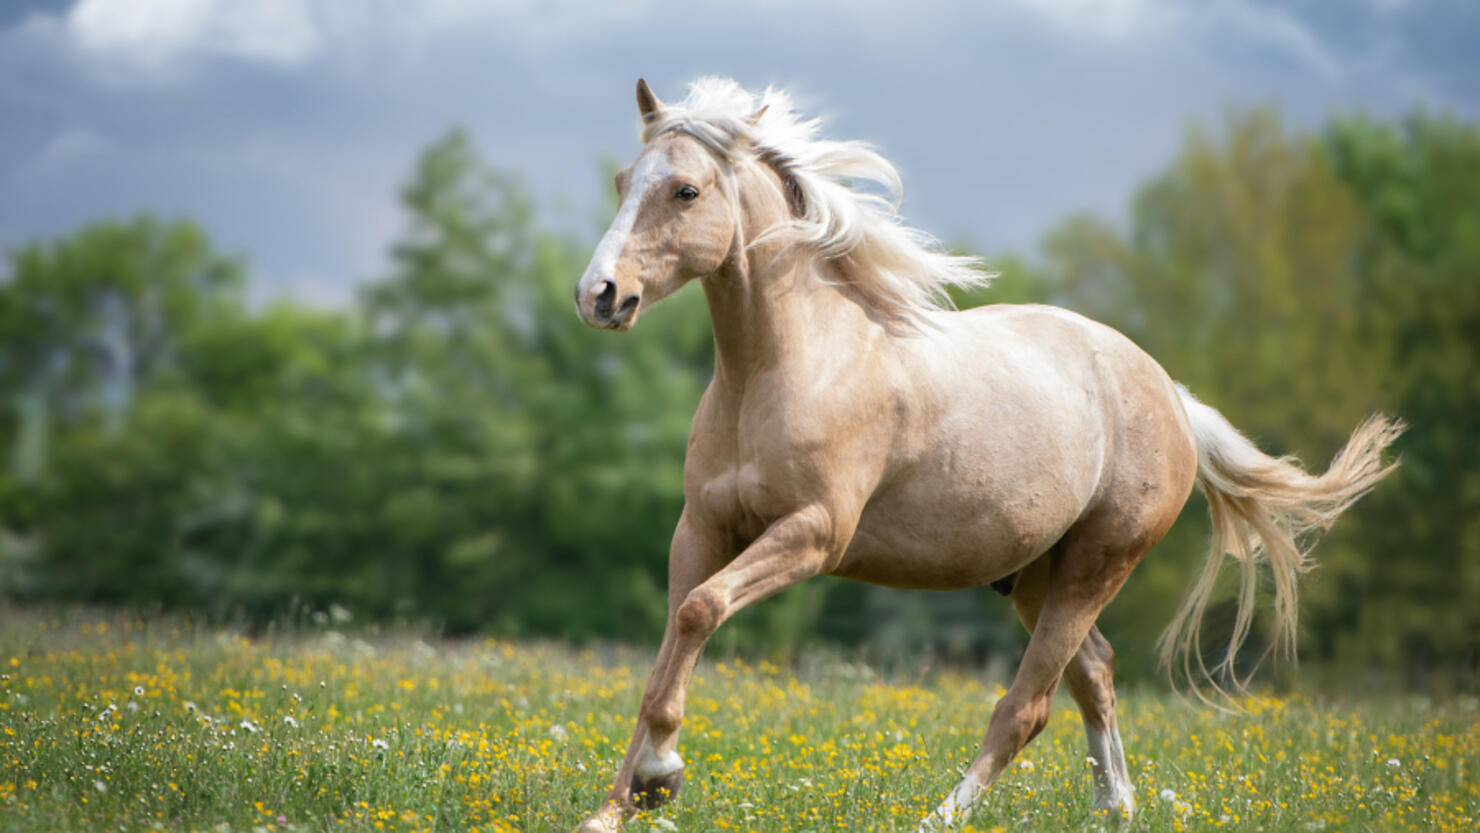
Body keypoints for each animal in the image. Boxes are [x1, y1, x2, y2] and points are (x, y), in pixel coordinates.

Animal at [565, 75, 1397, 828]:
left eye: (685, 190)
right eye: (623, 182)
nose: (598, 294)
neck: (787, 366)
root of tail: (1170, 392)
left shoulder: (813, 534)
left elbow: (701, 611)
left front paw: (661, 775)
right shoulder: (701, 529)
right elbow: (669, 648)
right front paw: (620, 805)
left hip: (1098, 563)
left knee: (1028, 704)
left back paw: (942, 817)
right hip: (1035, 575)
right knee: (1095, 672)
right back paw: (1115, 808)